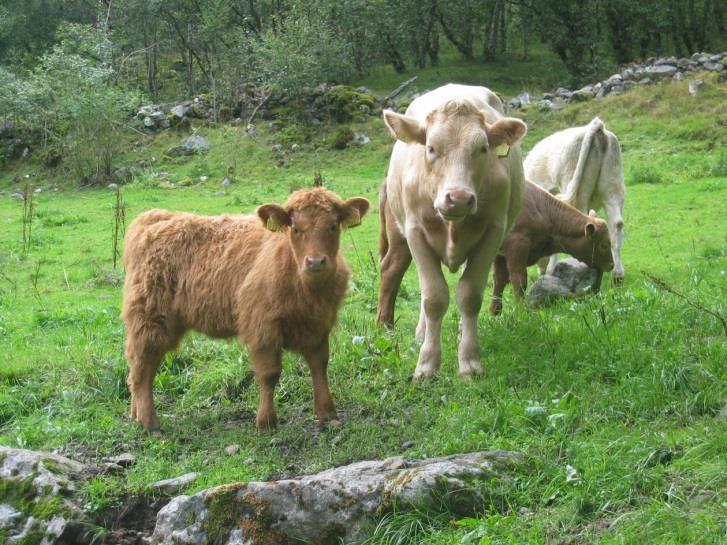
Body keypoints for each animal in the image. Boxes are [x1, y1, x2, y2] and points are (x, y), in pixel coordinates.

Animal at [122, 189, 370, 432]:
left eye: (333, 226)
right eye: (296, 229)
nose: (316, 261)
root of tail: (155, 217)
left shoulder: (320, 325)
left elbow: (320, 365)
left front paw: (328, 414)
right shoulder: (263, 326)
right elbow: (270, 373)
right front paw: (266, 421)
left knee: (140, 367)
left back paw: (136, 414)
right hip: (150, 318)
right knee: (142, 366)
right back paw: (150, 422)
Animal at [378, 84, 528, 378]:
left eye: (483, 148)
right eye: (431, 148)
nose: (458, 198)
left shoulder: (493, 231)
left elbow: (469, 295)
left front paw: (469, 361)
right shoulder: (415, 231)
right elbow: (434, 297)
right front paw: (426, 364)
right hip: (399, 233)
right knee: (396, 272)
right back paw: (402, 330)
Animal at [490, 180, 616, 312]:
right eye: (603, 245)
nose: (611, 265)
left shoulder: (499, 253)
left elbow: (499, 280)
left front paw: (495, 312)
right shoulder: (517, 245)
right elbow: (518, 279)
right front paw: (522, 311)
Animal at [524, 117, 624, 282]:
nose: (541, 272)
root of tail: (598, 129)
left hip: (577, 188)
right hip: (613, 186)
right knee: (616, 224)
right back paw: (618, 274)